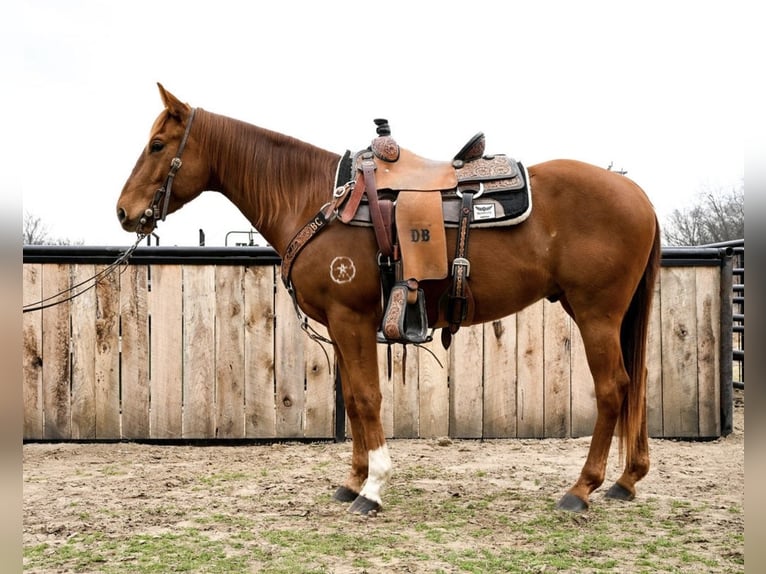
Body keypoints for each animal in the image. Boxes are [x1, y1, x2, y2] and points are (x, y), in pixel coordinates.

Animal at [116, 84, 660, 515]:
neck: (318, 199)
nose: (123, 211)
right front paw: (353, 480)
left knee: (613, 389)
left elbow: (367, 398)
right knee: (633, 386)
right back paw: (625, 480)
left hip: (595, 313)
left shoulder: (351, 319)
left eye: (158, 144)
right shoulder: (340, 326)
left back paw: (582, 488)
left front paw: (373, 488)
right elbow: (355, 404)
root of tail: (638, 195)